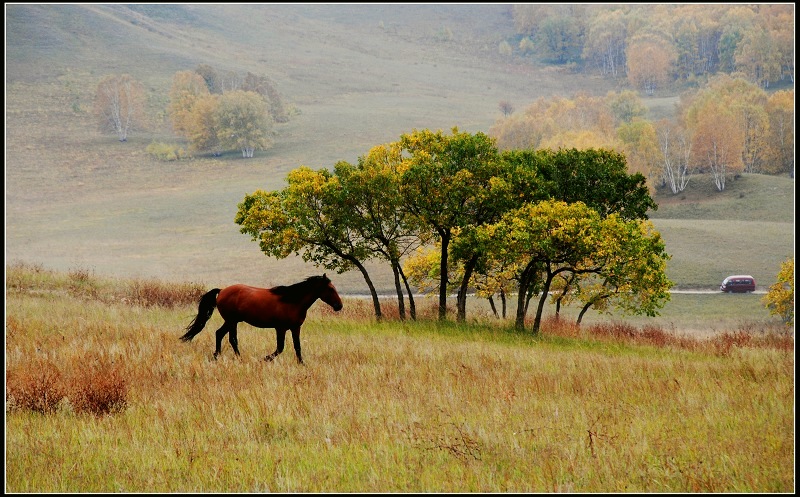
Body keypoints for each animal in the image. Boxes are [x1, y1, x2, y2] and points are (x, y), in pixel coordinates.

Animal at [180, 274, 342, 362]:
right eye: (330, 289)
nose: (339, 306)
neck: (292, 301)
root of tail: (222, 290)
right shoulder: (280, 328)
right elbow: (280, 348)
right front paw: (264, 359)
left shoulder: (295, 328)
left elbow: (297, 347)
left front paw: (302, 364)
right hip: (232, 321)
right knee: (232, 339)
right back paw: (239, 358)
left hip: (231, 321)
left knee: (220, 334)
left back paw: (217, 356)